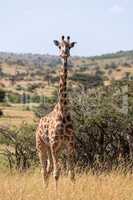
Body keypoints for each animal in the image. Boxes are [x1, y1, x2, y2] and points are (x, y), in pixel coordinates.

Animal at [35, 35, 76, 187]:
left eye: (69, 46)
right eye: (59, 46)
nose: (65, 54)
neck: (63, 111)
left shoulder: (70, 145)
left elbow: (71, 174)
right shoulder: (53, 145)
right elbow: (56, 174)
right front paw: (56, 191)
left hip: (53, 149)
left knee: (48, 168)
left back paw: (46, 188)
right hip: (41, 146)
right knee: (44, 170)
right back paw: (45, 188)